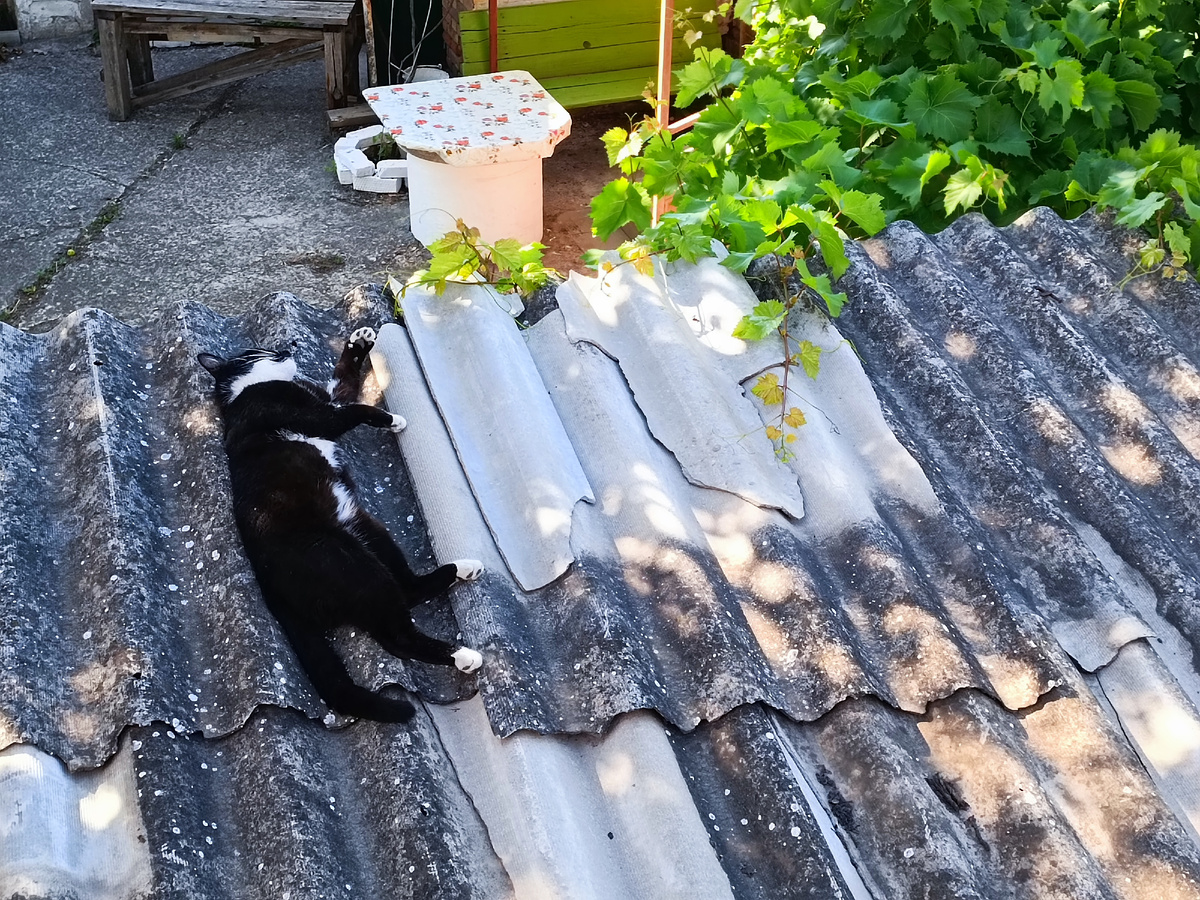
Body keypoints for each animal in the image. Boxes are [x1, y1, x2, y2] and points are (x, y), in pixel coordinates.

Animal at [198, 326, 482, 724]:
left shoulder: (328, 398)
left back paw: (464, 569)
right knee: (397, 636)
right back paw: (463, 656)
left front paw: (358, 342)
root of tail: (270, 586)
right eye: (257, 351)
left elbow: (345, 384)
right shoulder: (315, 416)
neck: (252, 388)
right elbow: (353, 410)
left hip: (368, 529)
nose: (285, 348)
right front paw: (390, 418)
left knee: (410, 589)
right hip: (350, 564)